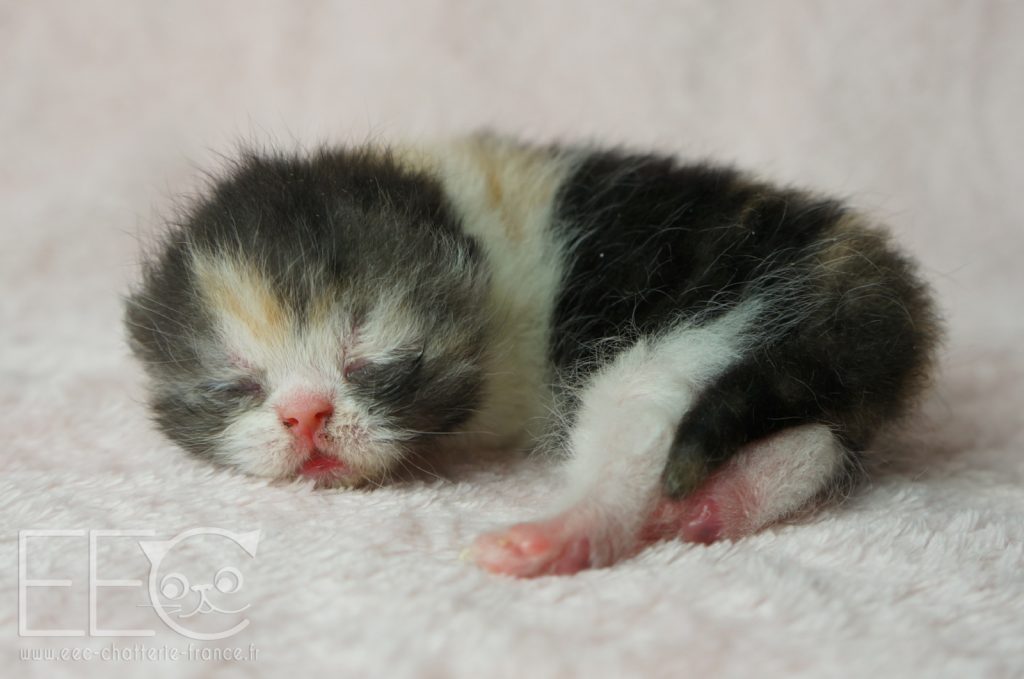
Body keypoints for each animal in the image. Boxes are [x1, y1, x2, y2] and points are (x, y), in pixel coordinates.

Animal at [123, 134, 937, 577]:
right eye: (235, 383)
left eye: (364, 355)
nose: (304, 415)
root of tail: (867, 275)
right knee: (819, 442)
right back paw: (723, 504)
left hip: (712, 322)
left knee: (640, 417)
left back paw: (569, 531)